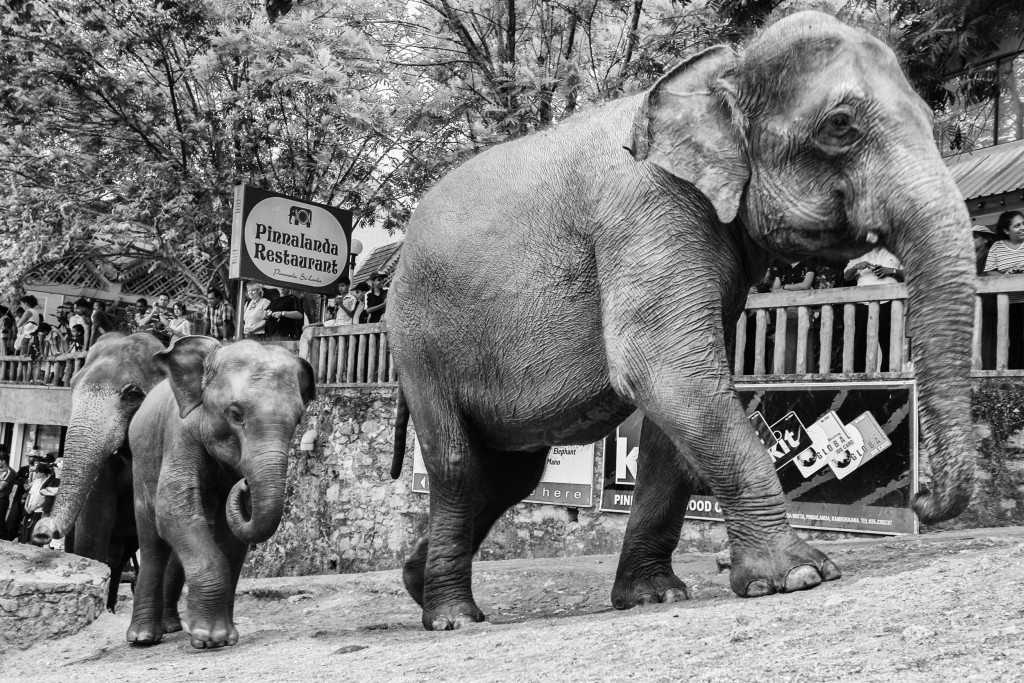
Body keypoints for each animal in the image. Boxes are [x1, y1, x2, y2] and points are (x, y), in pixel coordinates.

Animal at [126, 336, 314, 648]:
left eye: (299, 420)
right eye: (235, 414)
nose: (245, 483)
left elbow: (231, 536)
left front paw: (222, 638)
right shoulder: (180, 433)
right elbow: (173, 509)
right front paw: (208, 638)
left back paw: (172, 626)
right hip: (142, 457)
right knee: (152, 539)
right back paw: (143, 637)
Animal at [387, 10, 976, 631]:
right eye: (840, 125)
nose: (922, 498)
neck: (719, 71)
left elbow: (673, 414)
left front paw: (655, 597)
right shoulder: (648, 209)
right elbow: (668, 371)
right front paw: (797, 576)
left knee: (507, 475)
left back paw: (415, 582)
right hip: (419, 343)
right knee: (459, 468)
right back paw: (453, 617)